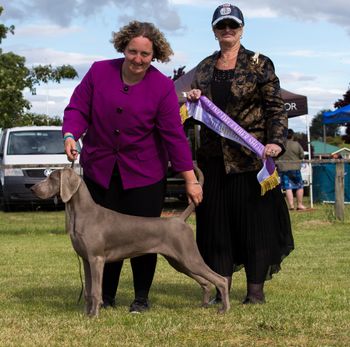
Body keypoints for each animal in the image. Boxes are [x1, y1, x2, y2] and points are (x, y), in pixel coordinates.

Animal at [30, 169, 230, 318]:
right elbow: (87, 290)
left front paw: (94, 316)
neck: (82, 213)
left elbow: (95, 291)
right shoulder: (87, 260)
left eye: (52, 178)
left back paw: (224, 309)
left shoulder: (97, 259)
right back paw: (204, 305)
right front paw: (86, 314)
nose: (32, 189)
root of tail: (180, 219)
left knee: (220, 279)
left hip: (189, 257)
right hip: (179, 262)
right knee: (205, 282)